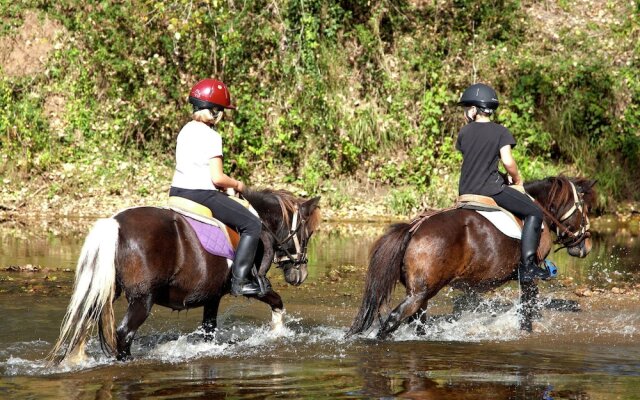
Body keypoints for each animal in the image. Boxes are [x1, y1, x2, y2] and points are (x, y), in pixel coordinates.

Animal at [50, 189, 322, 364]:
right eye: (307, 234)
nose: (301, 274)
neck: (262, 225)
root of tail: (114, 224)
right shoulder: (256, 286)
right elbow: (277, 301)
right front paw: (277, 333)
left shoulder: (212, 295)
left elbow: (209, 330)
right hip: (142, 299)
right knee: (124, 333)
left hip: (105, 291)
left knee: (84, 323)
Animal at [350, 177, 596, 340]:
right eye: (585, 209)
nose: (587, 246)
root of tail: (414, 229)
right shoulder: (529, 275)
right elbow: (528, 306)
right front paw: (526, 331)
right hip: (419, 294)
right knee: (393, 319)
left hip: (421, 294)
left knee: (417, 322)